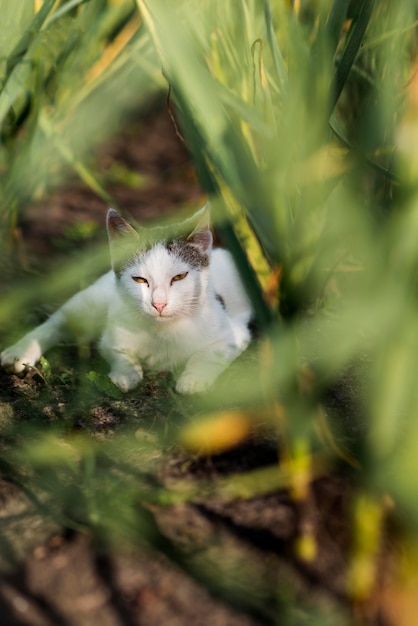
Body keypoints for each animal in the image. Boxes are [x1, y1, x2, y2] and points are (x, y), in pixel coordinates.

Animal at [0, 210, 251, 394]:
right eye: (140, 280)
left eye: (179, 277)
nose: (159, 304)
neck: (163, 330)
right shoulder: (113, 332)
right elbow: (115, 348)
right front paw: (126, 373)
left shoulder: (235, 333)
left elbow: (210, 354)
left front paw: (193, 380)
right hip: (95, 299)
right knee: (58, 321)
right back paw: (20, 352)